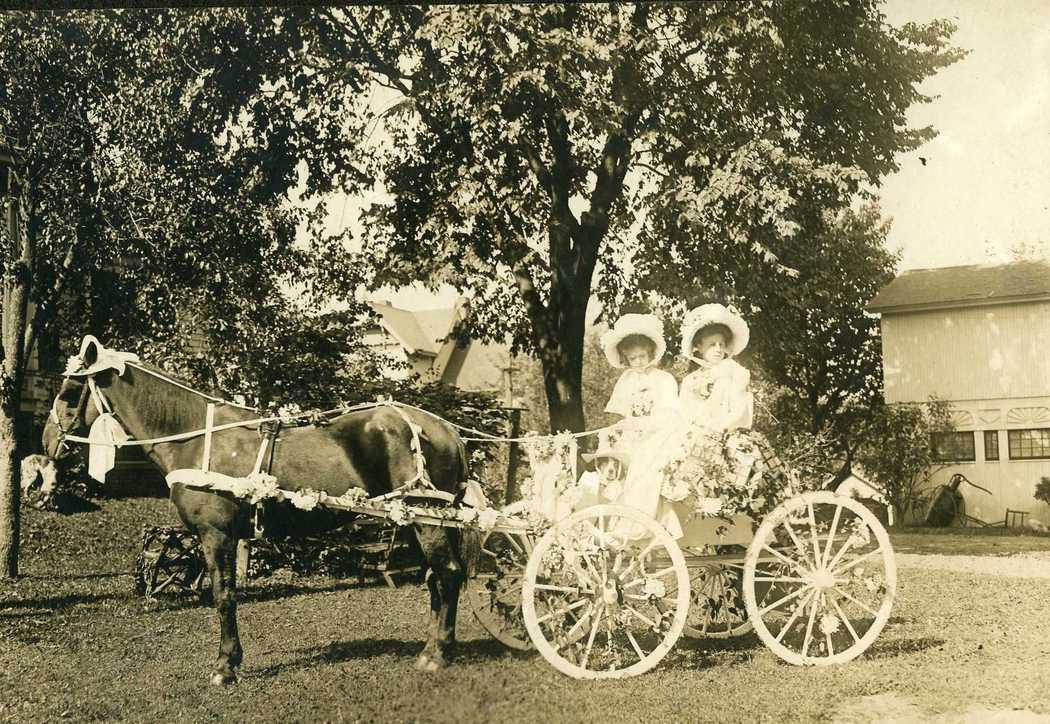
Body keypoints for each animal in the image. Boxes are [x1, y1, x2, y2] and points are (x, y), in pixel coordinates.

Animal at [43, 335, 478, 679]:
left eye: (69, 393)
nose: (48, 442)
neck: (196, 438)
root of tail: (446, 429)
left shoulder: (216, 535)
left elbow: (224, 596)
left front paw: (225, 666)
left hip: (428, 519)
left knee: (449, 573)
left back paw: (437, 655)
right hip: (418, 520)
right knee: (435, 578)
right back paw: (432, 648)